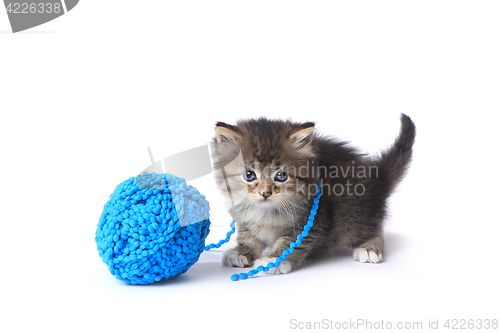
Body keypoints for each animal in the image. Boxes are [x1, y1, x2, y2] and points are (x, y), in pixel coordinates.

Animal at [210, 113, 414, 274]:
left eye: (281, 176)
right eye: (249, 175)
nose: (265, 193)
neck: (267, 211)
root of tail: (378, 177)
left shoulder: (313, 221)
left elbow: (292, 242)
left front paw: (275, 260)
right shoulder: (246, 218)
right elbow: (249, 236)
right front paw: (240, 252)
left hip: (354, 217)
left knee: (373, 229)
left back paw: (370, 248)